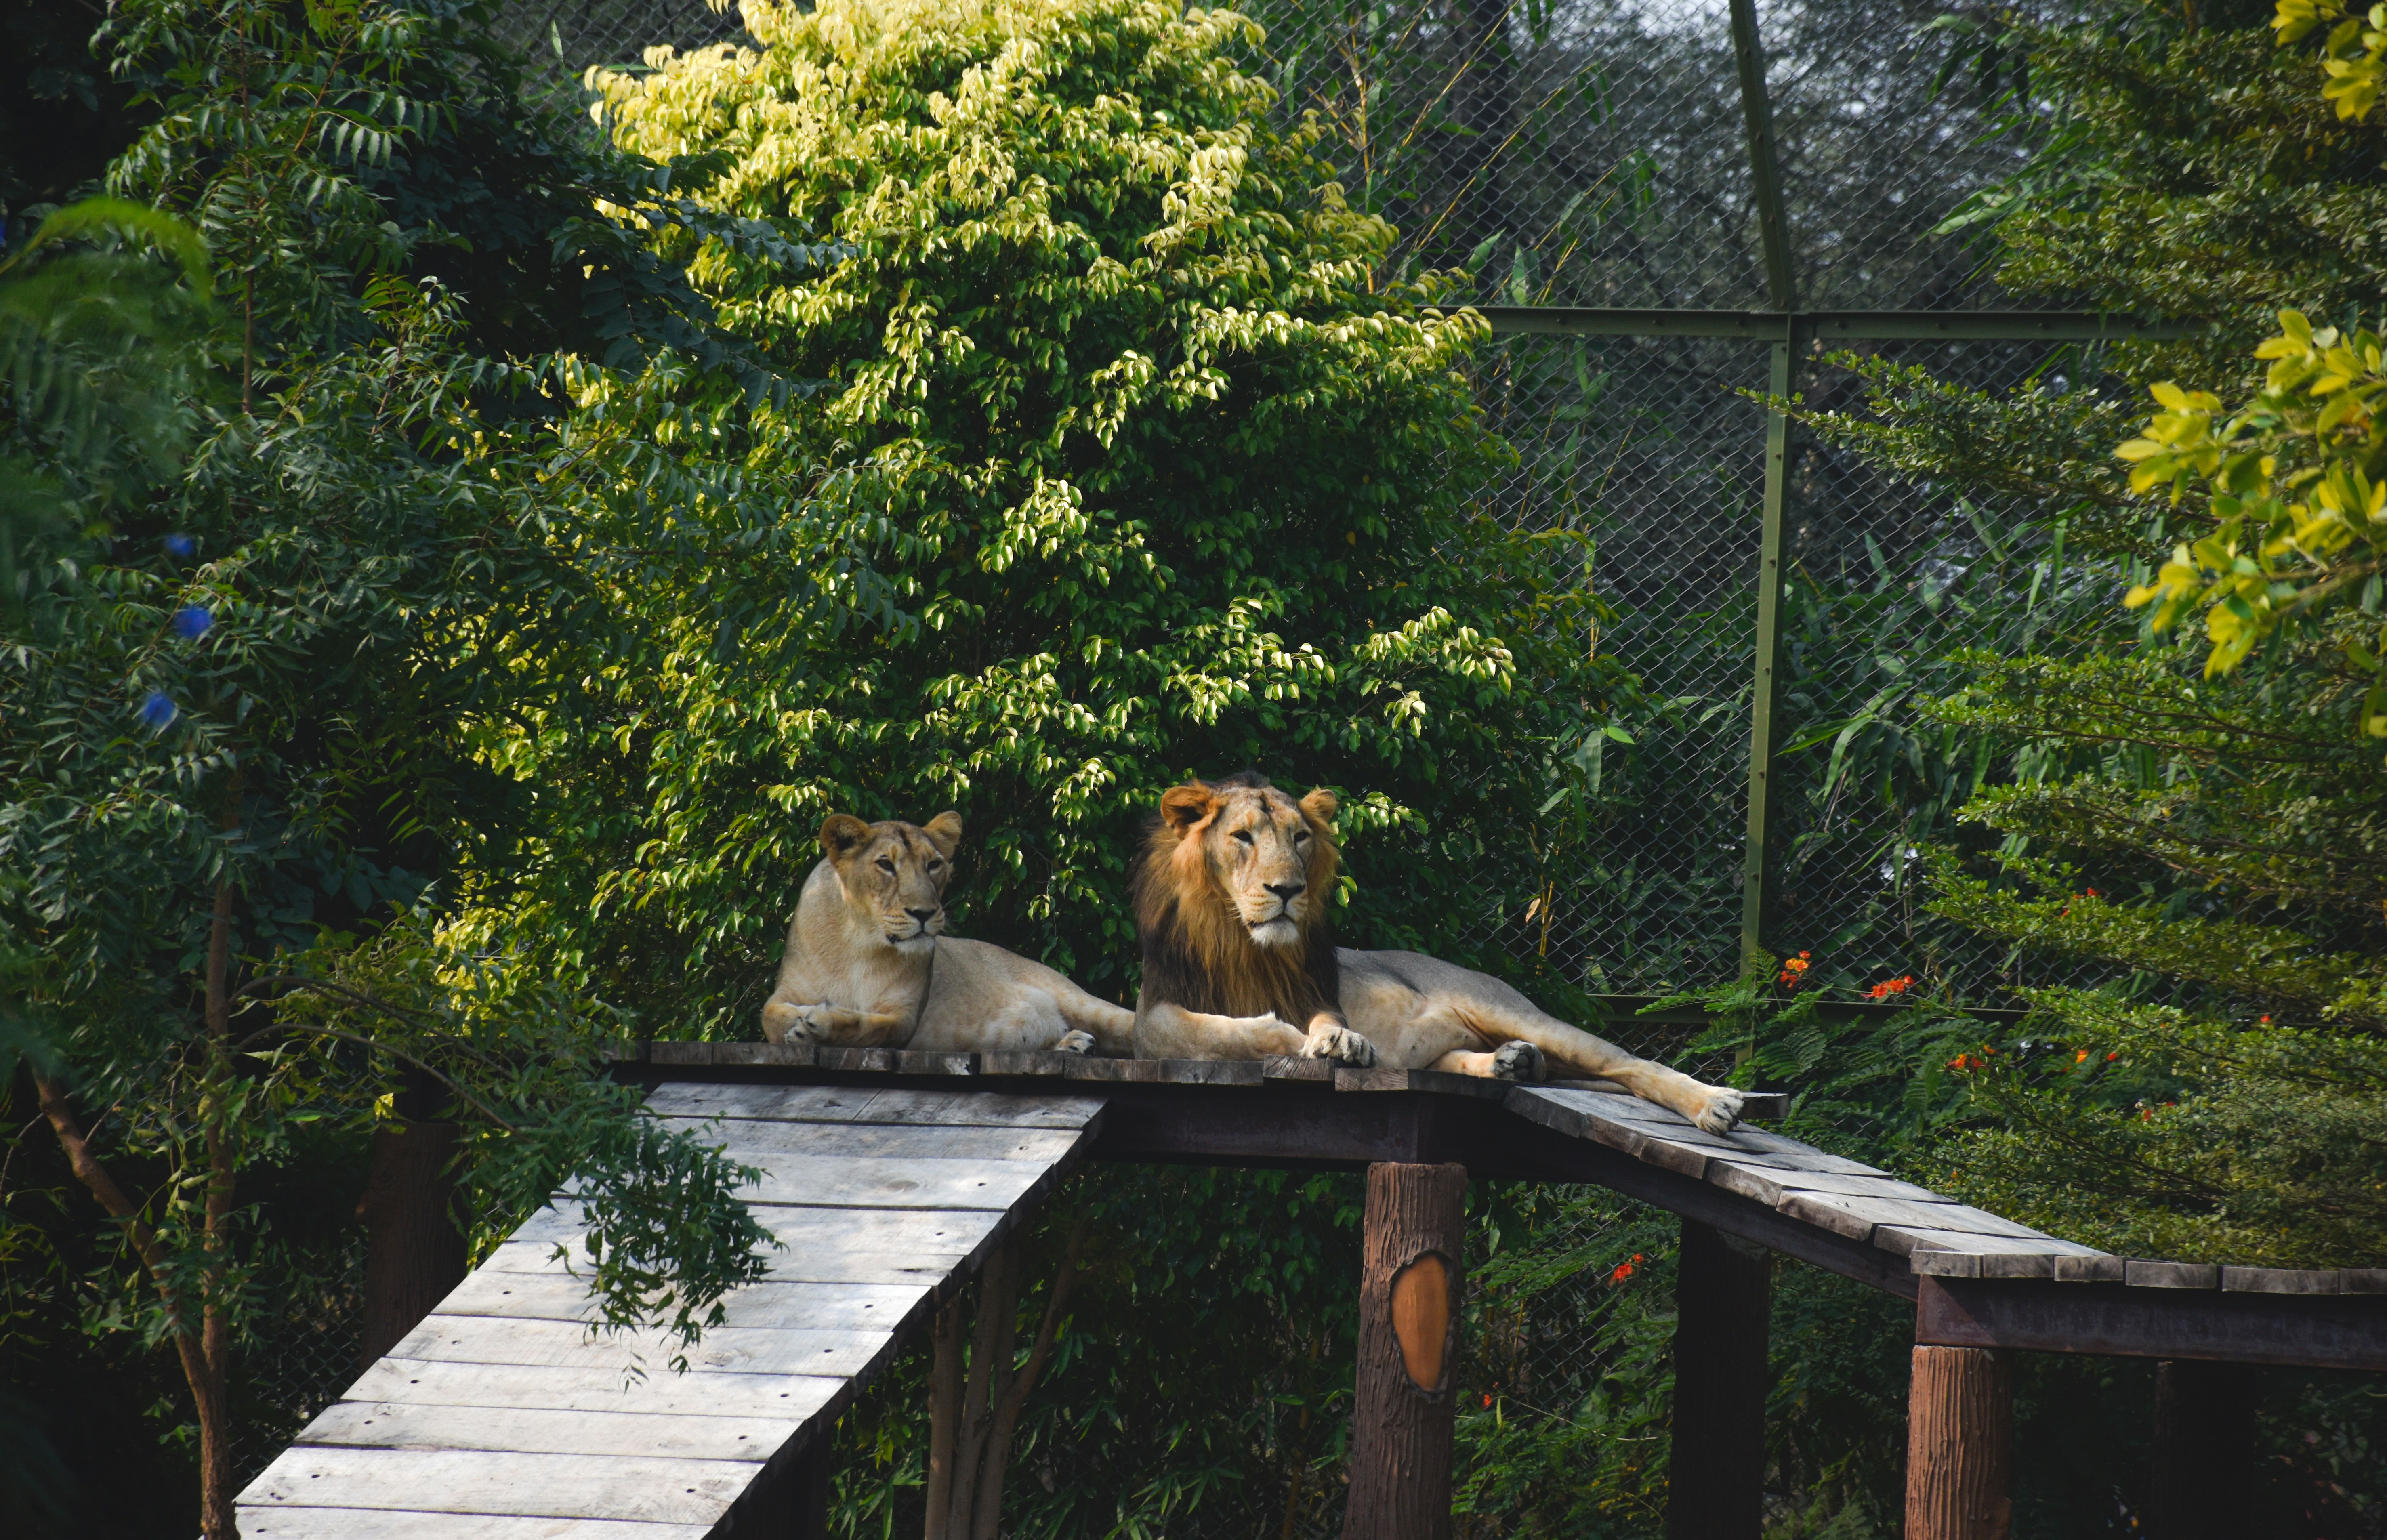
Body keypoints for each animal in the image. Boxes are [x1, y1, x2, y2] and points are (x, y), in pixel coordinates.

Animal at [760, 811, 1135, 1056]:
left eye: (934, 865)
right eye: (885, 865)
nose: (925, 913)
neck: (860, 942)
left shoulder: (905, 1017)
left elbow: (869, 1027)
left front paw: (818, 1025)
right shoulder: (781, 997)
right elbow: (772, 1020)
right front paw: (807, 1021)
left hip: (1079, 1000)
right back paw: (1072, 1043)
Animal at [1127, 772, 1747, 1133]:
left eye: (1300, 837)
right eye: (1242, 837)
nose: (1288, 890)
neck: (1240, 940)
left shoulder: (1318, 992)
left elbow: (1312, 1021)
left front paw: (1332, 1040)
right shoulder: (1152, 1014)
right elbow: (1204, 1031)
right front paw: (1292, 1036)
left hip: (1505, 1007)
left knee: (1626, 1062)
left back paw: (1714, 1104)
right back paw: (1512, 1062)